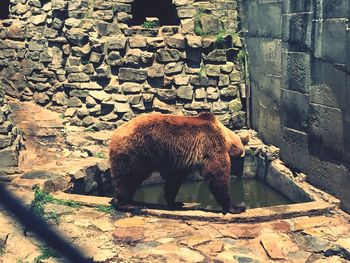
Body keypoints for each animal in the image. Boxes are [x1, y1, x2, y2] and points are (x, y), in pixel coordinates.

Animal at [109, 112, 249, 213]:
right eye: (240, 159)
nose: (238, 173)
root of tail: (116, 132)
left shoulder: (181, 161)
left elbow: (174, 180)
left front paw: (175, 202)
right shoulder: (210, 144)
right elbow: (217, 175)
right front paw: (236, 207)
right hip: (136, 151)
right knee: (129, 177)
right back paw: (126, 204)